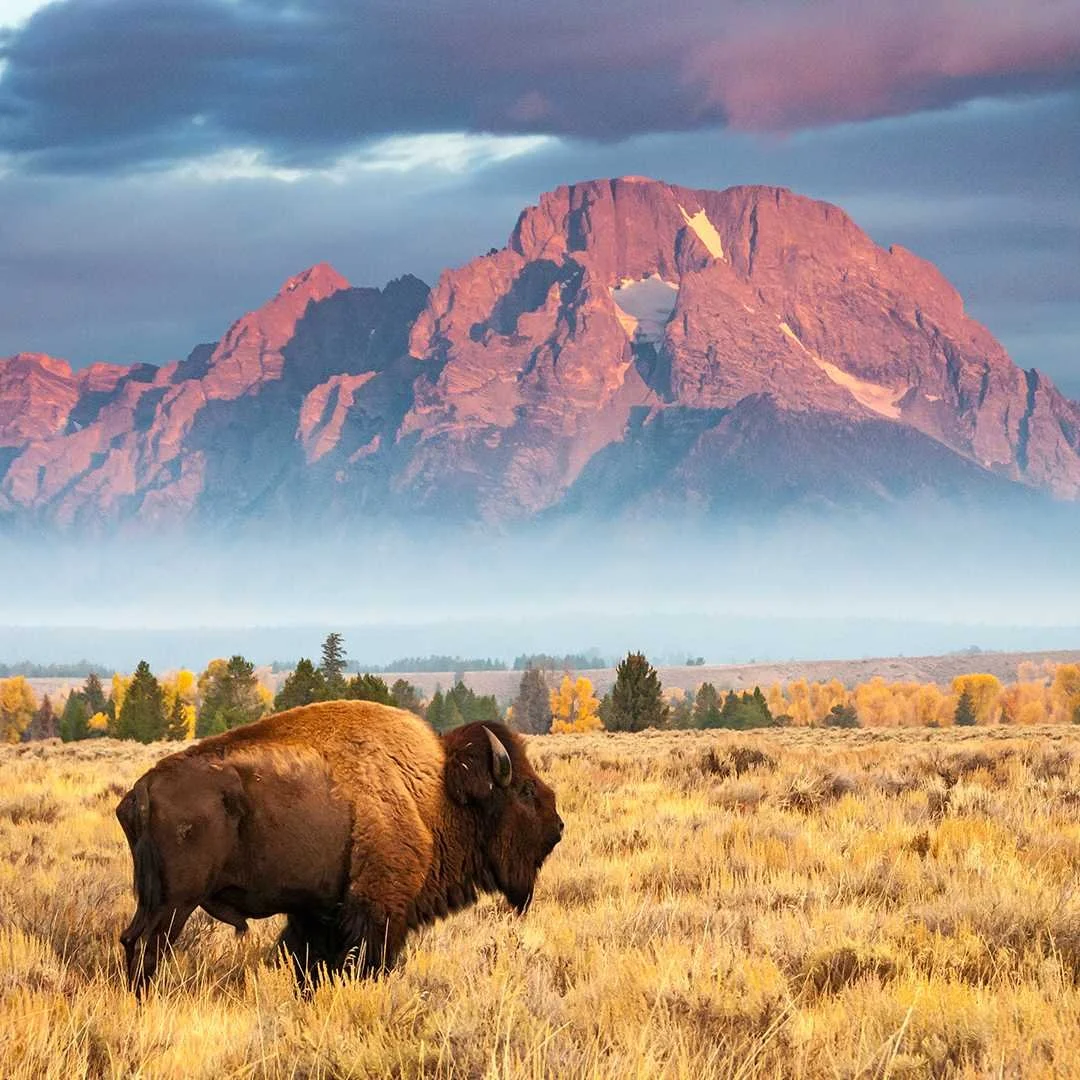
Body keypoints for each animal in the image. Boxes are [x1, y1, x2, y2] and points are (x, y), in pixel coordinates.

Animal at [115, 700, 563, 993]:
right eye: (524, 790)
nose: (557, 827)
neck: (435, 793)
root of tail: (142, 790)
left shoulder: (317, 912)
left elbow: (307, 963)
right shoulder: (378, 910)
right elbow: (366, 962)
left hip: (153, 900)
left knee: (131, 940)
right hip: (175, 903)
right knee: (149, 947)